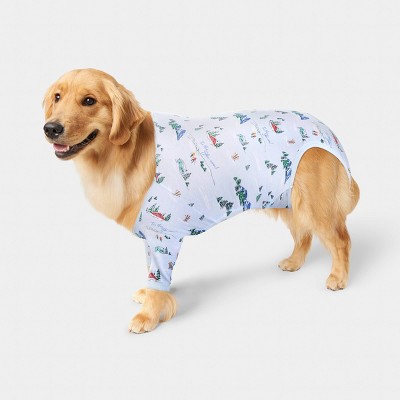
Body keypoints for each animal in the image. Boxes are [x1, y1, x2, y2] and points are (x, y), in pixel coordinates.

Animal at [43, 68, 360, 333]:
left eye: (89, 100)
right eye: (57, 97)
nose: (50, 128)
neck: (127, 153)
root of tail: (327, 129)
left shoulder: (164, 235)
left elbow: (158, 276)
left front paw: (148, 314)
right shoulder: (152, 235)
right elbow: (152, 271)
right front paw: (150, 295)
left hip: (313, 201)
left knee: (341, 240)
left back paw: (338, 277)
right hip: (287, 198)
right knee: (304, 235)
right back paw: (294, 262)